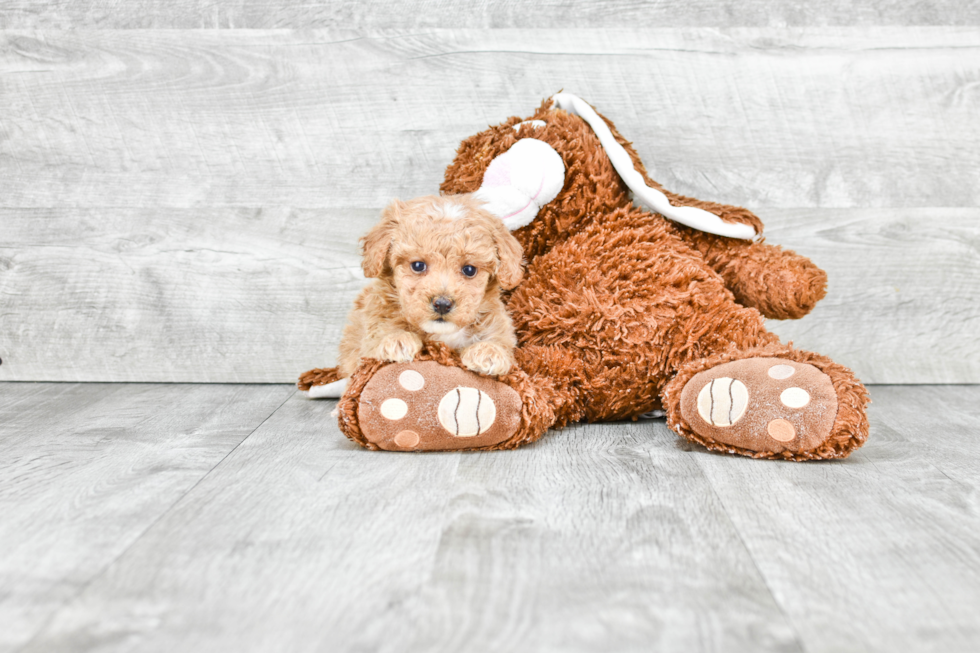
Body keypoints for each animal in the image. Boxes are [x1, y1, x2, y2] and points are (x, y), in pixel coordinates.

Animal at [334, 194, 520, 376]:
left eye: (469, 270)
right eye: (418, 265)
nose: (442, 304)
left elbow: (499, 339)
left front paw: (489, 351)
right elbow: (379, 336)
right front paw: (397, 340)